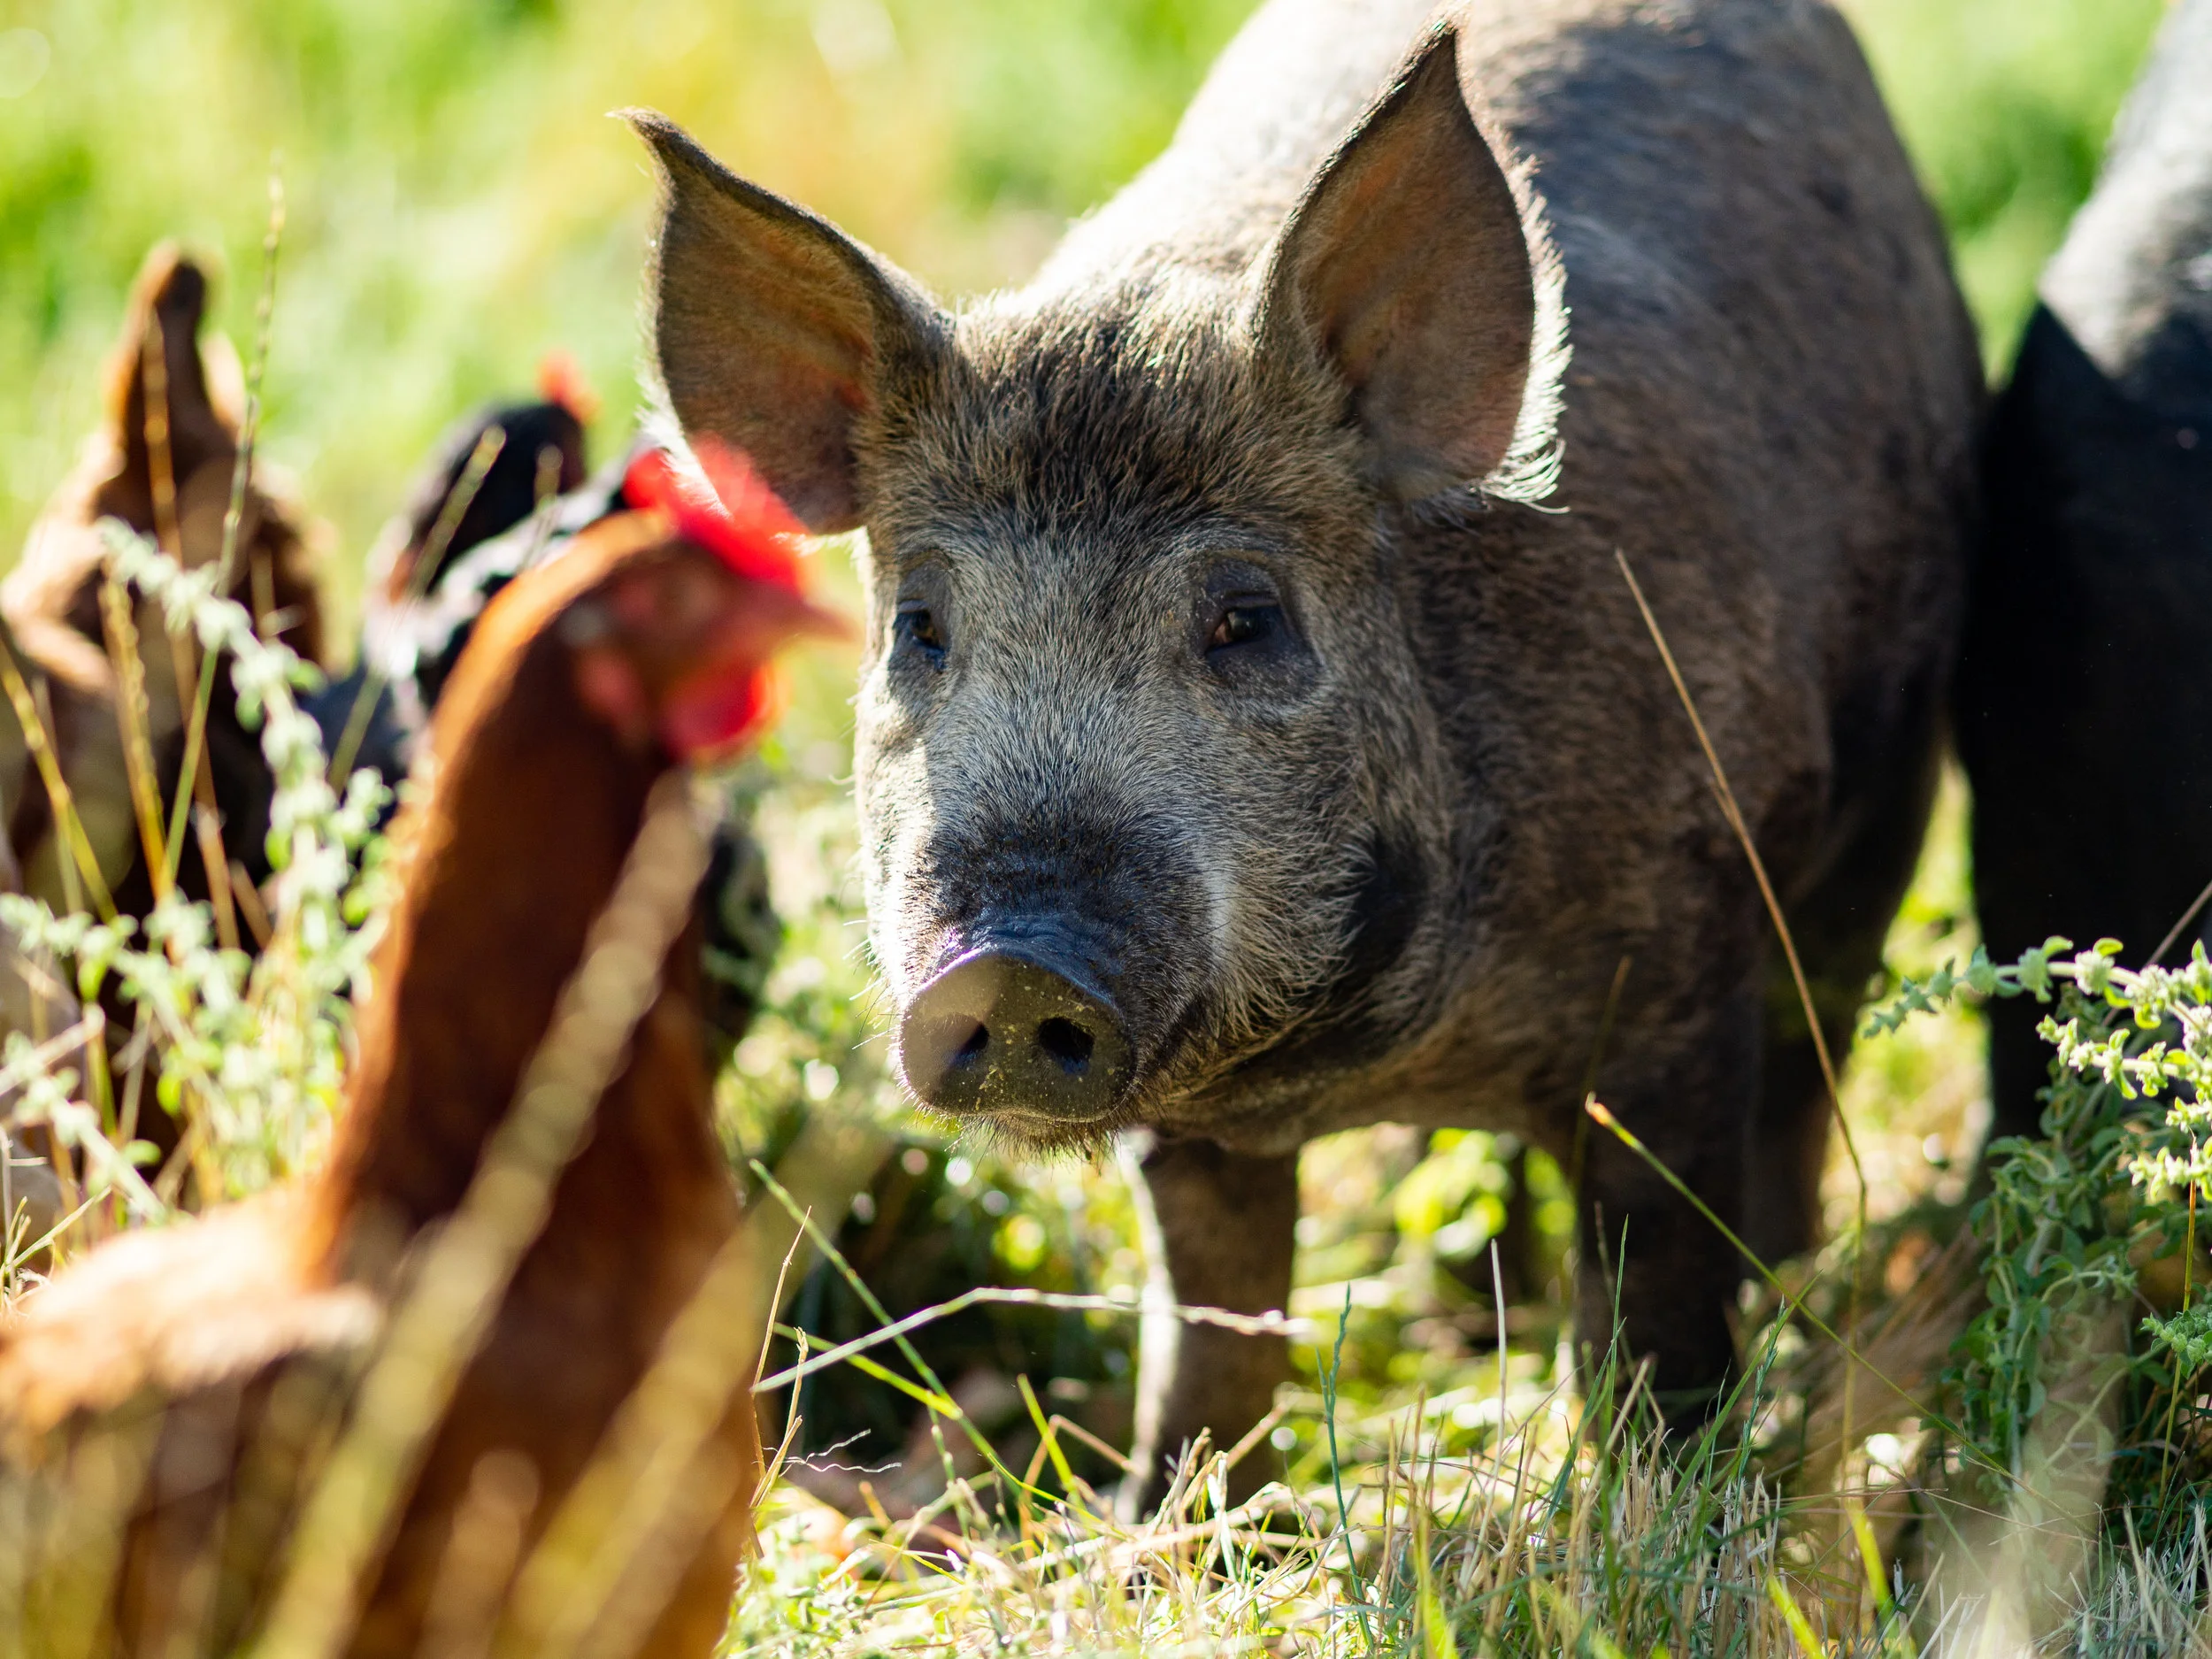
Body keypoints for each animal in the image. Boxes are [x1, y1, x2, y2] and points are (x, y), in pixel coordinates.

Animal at [631, 0, 1980, 1506]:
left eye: (1245, 616)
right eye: (922, 625)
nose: (1007, 960)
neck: (1333, 1068)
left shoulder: (1680, 993)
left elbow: (1656, 1293)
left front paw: (1656, 1489)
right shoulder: (1191, 1141)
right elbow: (1213, 1323)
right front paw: (1162, 1505)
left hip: (1887, 795)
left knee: (1810, 1078)